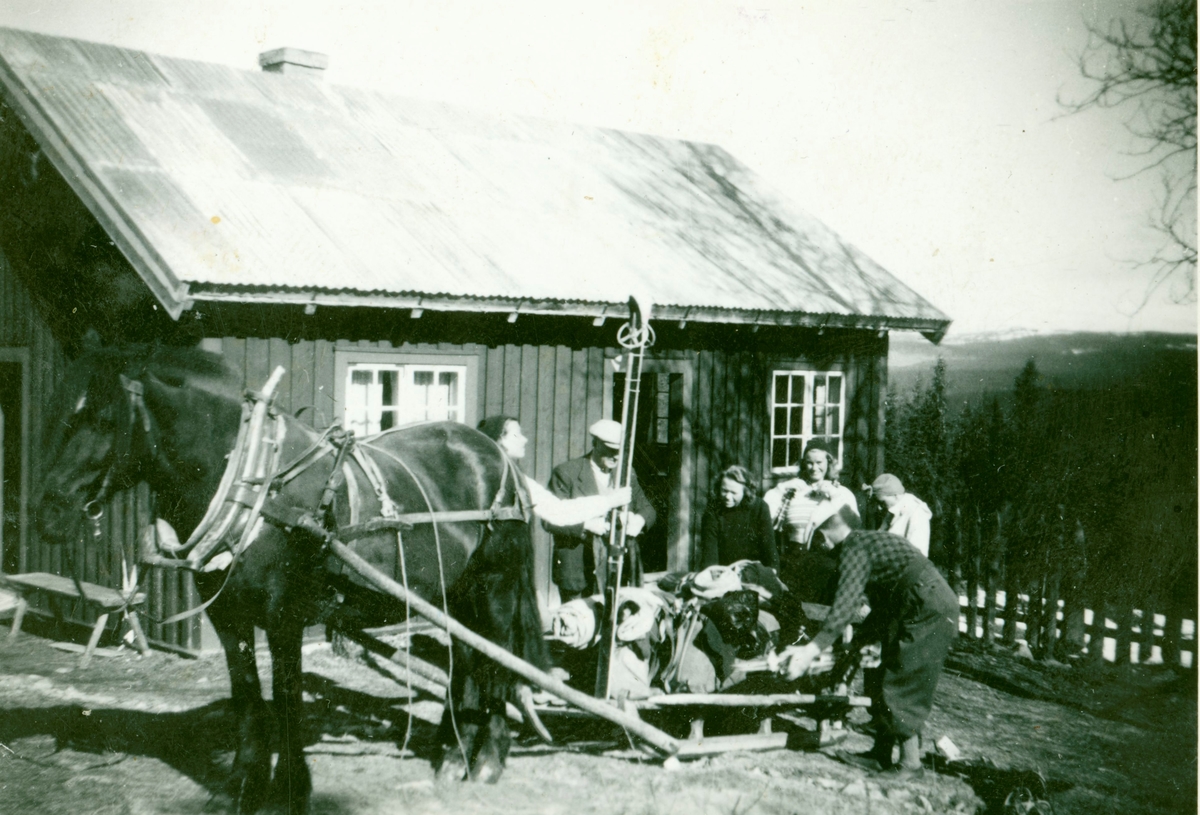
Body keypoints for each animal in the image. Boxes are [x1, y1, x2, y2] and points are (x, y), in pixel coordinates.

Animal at [34, 340, 549, 811]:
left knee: (498, 660)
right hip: (453, 592)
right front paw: (244, 784)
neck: (255, 488)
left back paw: (487, 759)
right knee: (467, 659)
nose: (49, 512)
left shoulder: (285, 618)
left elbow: (285, 700)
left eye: (104, 420)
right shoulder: (229, 617)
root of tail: (497, 456)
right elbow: (246, 696)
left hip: (495, 586)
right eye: (57, 414)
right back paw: (452, 754)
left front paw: (292, 789)